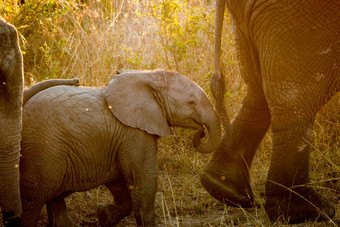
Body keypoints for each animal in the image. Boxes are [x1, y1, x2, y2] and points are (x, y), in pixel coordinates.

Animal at [19, 70, 222, 226]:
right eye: (191, 103)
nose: (201, 132)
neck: (149, 76)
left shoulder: (115, 141)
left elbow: (118, 183)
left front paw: (103, 215)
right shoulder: (133, 133)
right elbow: (144, 178)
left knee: (53, 197)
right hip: (43, 150)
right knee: (33, 200)